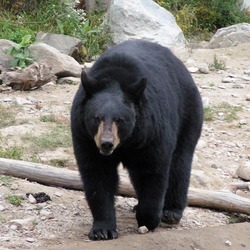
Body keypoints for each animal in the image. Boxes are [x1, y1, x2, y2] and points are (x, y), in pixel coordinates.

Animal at [70, 40, 203, 241]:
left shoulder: (151, 133)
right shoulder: (85, 136)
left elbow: (152, 171)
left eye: (119, 119)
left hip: (188, 113)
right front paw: (102, 230)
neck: (126, 142)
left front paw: (149, 219)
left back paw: (171, 211)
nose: (106, 143)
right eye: (96, 118)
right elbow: (97, 175)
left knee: (179, 163)